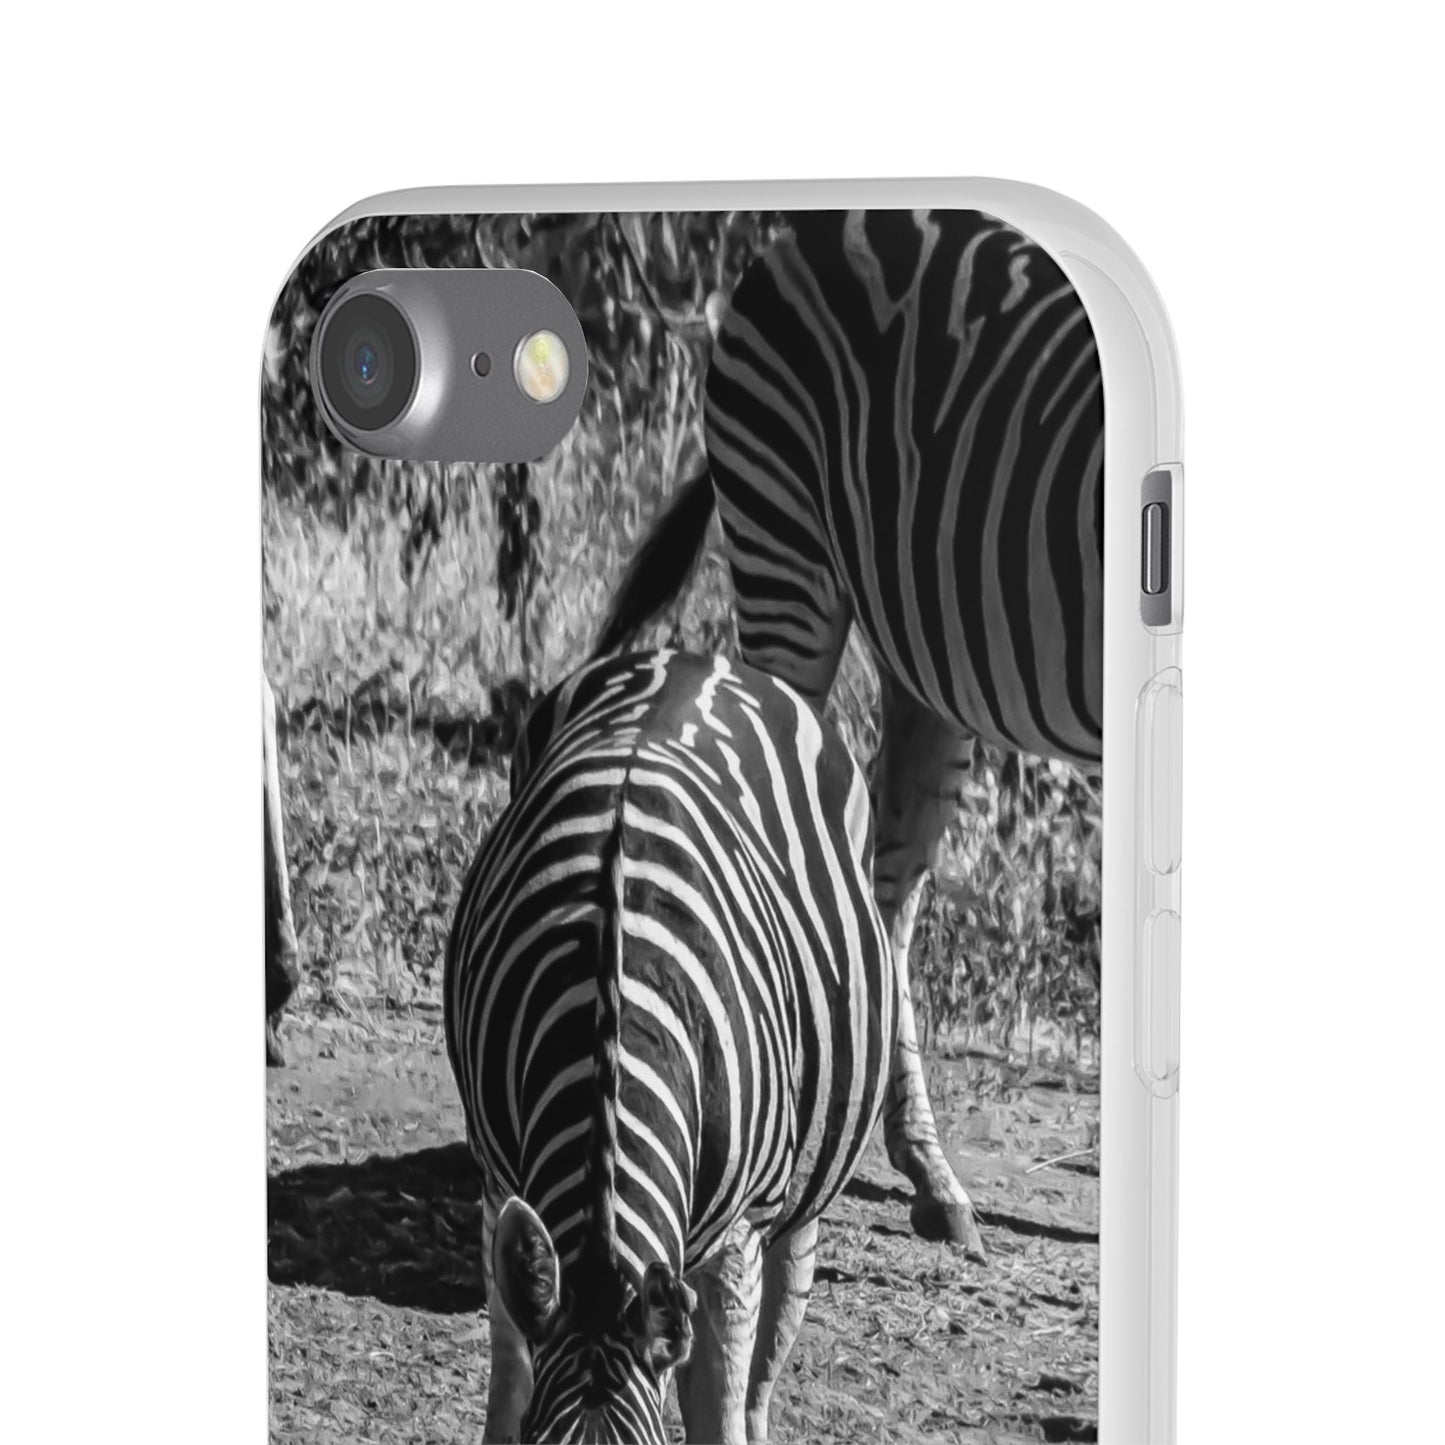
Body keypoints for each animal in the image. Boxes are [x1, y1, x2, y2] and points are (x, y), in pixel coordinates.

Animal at [445, 649, 894, 1445]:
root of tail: (693, 656)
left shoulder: (739, 1239)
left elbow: (718, 1409)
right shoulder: (498, 1183)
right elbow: (508, 1383)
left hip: (797, 1191)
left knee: (769, 1345)